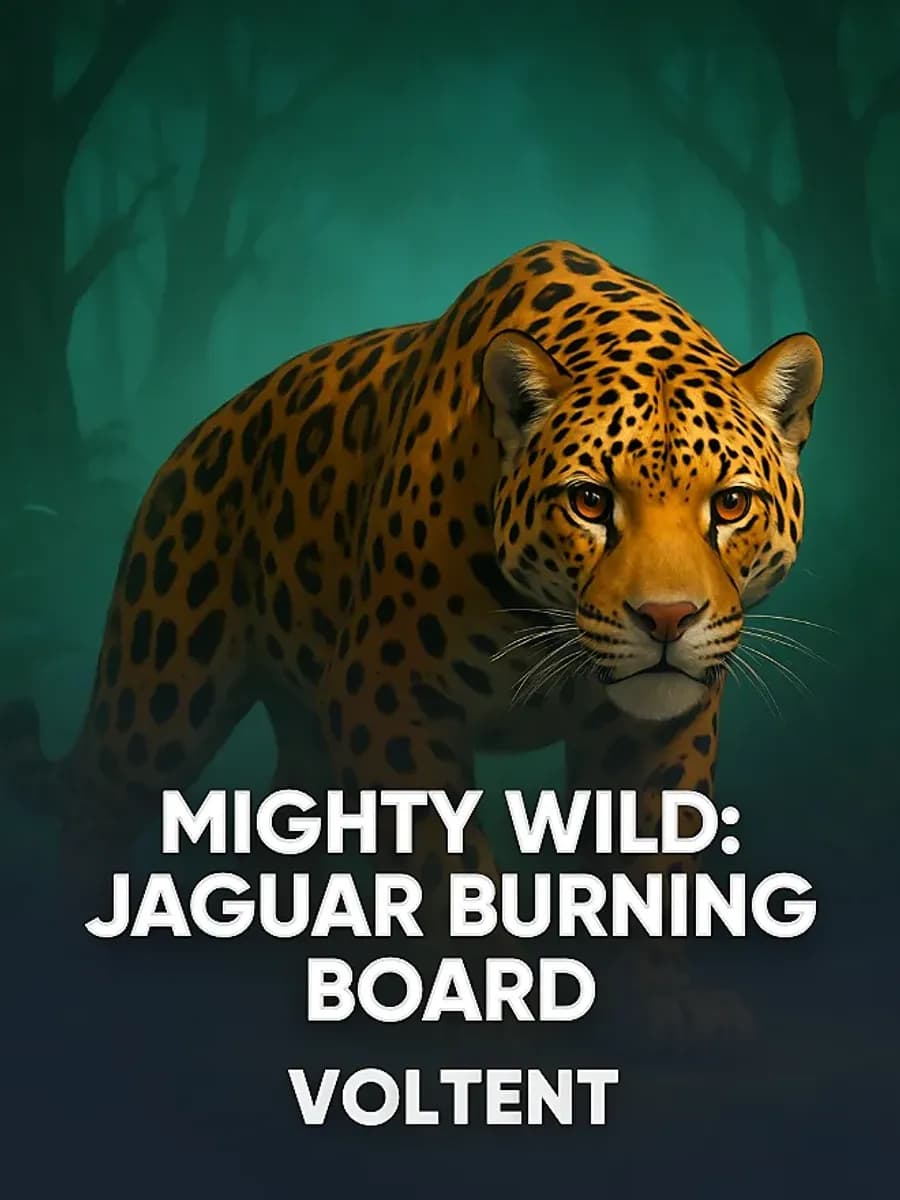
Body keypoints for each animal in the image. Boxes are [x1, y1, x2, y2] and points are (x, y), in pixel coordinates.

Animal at [0, 239, 823, 1019]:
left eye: (731, 504)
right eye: (589, 501)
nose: (667, 618)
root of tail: (199, 435)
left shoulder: (658, 730)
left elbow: (654, 870)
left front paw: (662, 1001)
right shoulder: (385, 696)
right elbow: (448, 872)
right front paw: (498, 1007)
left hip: (305, 734)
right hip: (161, 696)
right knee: (95, 810)